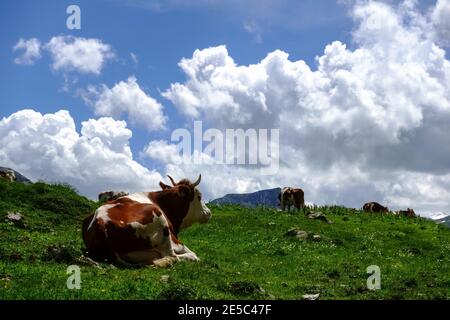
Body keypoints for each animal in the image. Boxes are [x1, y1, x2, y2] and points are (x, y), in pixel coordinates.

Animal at [81, 175, 212, 268]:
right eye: (199, 196)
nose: (209, 212)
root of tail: (100, 222)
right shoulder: (176, 241)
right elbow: (192, 253)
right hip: (158, 220)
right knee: (173, 256)